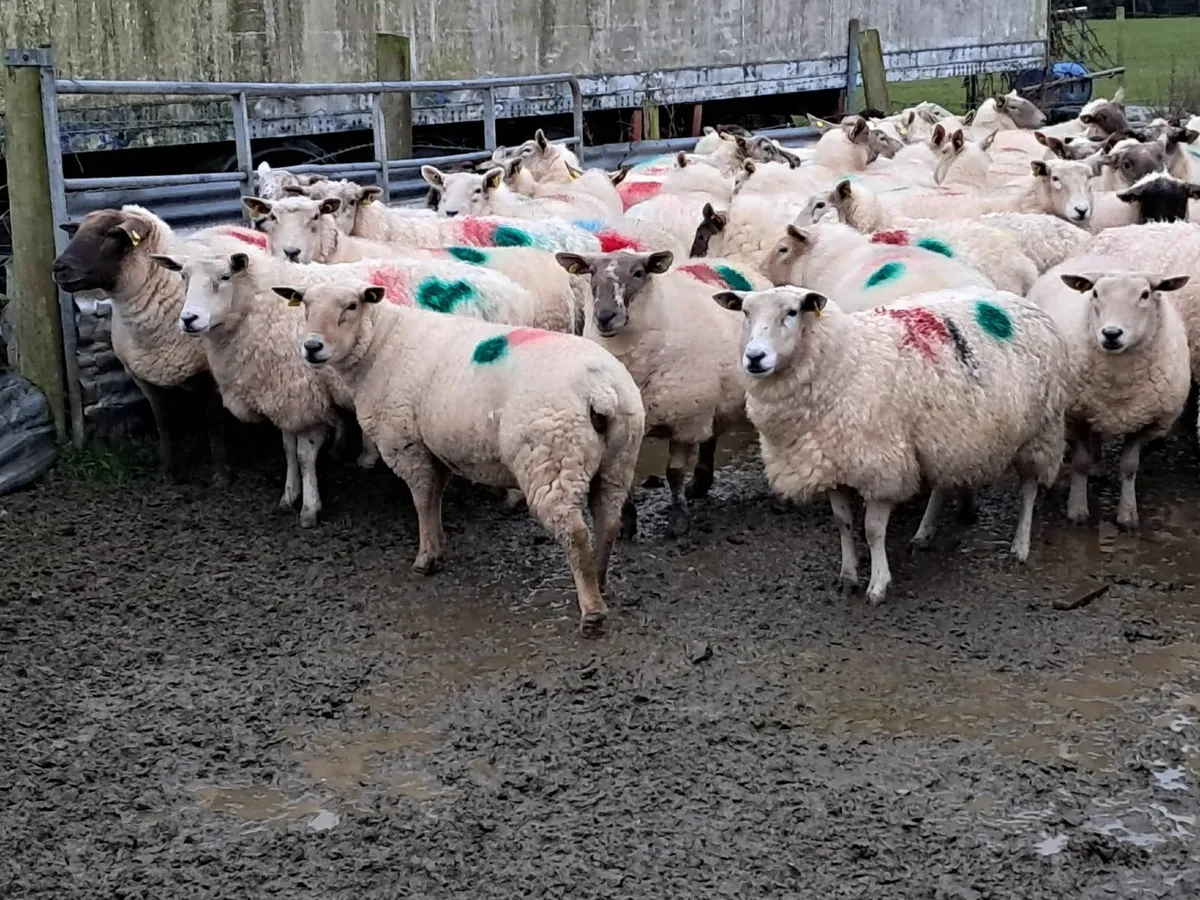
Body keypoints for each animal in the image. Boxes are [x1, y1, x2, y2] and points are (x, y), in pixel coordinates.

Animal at [150, 250, 341, 527]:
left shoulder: (305, 399)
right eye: (183, 276)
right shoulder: (282, 395)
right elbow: (288, 449)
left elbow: (305, 456)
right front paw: (288, 497)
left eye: (225, 276)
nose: (188, 319)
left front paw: (309, 509)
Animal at [279, 280, 645, 636]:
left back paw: (592, 612)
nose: (312, 347)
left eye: (352, 306)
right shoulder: (436, 448)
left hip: (551, 458)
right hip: (618, 459)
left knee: (574, 532)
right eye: (305, 305)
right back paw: (599, 580)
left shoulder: (407, 444)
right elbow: (435, 499)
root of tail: (601, 388)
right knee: (608, 522)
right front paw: (438, 545)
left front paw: (426, 558)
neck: (381, 345)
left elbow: (422, 501)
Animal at [555, 249, 747, 536]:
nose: (605, 316)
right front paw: (625, 523)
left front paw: (679, 521)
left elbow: (674, 473)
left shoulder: (685, 421)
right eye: (591, 272)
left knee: (709, 440)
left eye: (638, 272)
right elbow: (626, 477)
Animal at [712, 285, 1068, 603]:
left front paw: (878, 585)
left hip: (1041, 430)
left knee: (1029, 489)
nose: (755, 357)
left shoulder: (880, 466)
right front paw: (848, 576)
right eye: (745, 312)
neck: (845, 363)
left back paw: (1019, 545)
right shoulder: (832, 463)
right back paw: (924, 533)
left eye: (792, 312)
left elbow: (872, 530)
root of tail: (1020, 300)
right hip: (948, 435)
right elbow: (843, 523)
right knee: (943, 484)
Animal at [1029, 262, 1191, 529]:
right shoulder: (1075, 416)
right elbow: (1080, 463)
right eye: (1095, 293)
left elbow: (1129, 467)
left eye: (1145, 294)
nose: (1112, 333)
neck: (1119, 386)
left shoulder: (1146, 421)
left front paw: (1127, 514)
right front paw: (1077, 509)